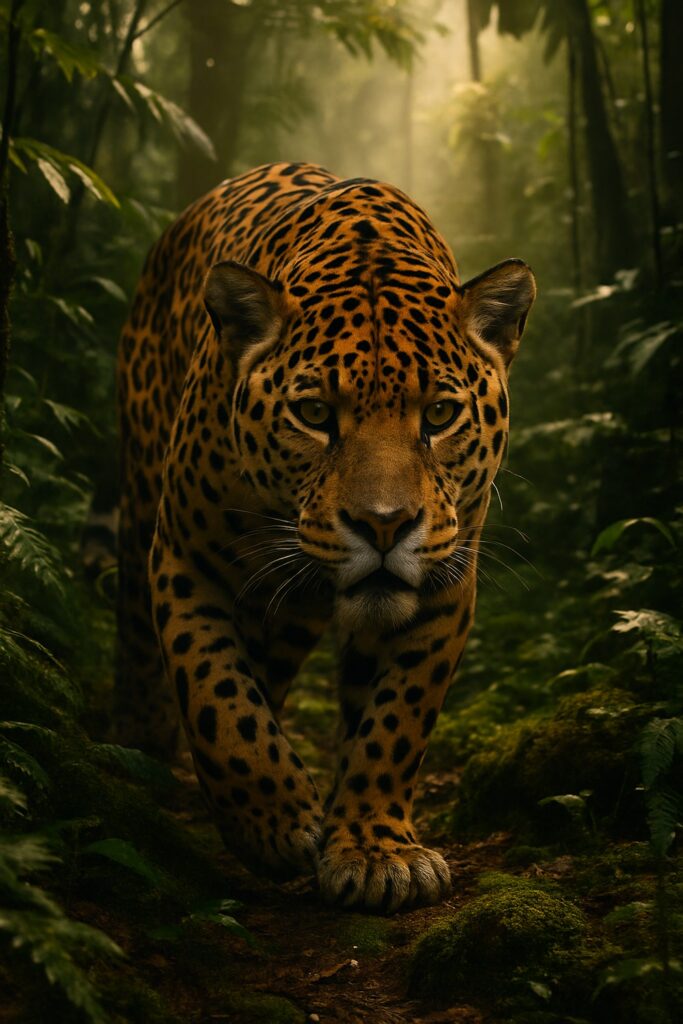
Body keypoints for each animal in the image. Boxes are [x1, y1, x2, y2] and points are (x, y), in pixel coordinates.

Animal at [117, 161, 535, 913]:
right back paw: (139, 743)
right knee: (138, 630)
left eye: (439, 414)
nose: (384, 524)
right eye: (313, 414)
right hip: (139, 491)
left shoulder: (445, 586)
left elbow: (395, 722)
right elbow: (216, 697)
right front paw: (273, 821)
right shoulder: (186, 558)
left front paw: (373, 848)